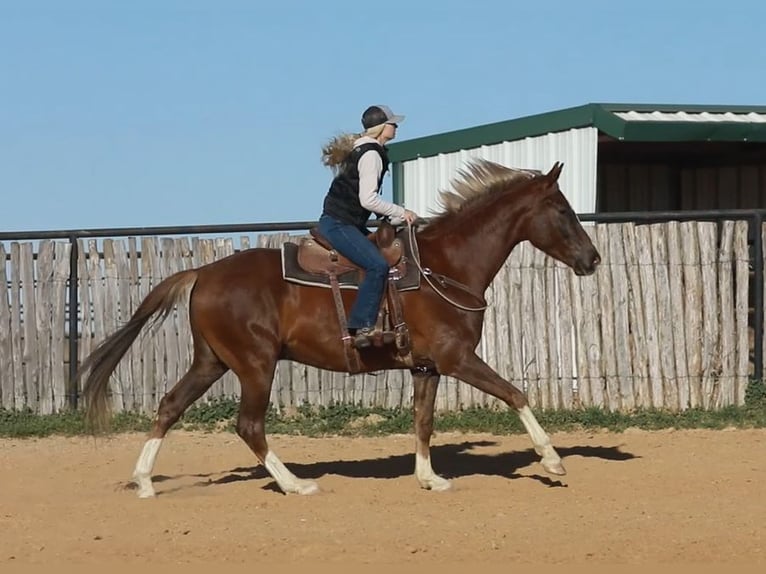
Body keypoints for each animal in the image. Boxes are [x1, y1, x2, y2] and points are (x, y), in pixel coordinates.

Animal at [79, 159, 608, 500]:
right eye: (563, 210)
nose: (593, 259)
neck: (443, 265)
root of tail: (202, 272)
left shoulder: (427, 368)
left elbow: (423, 422)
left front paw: (429, 479)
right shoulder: (457, 359)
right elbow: (515, 394)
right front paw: (552, 461)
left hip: (212, 361)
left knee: (169, 407)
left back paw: (144, 482)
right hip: (254, 365)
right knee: (249, 425)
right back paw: (295, 484)